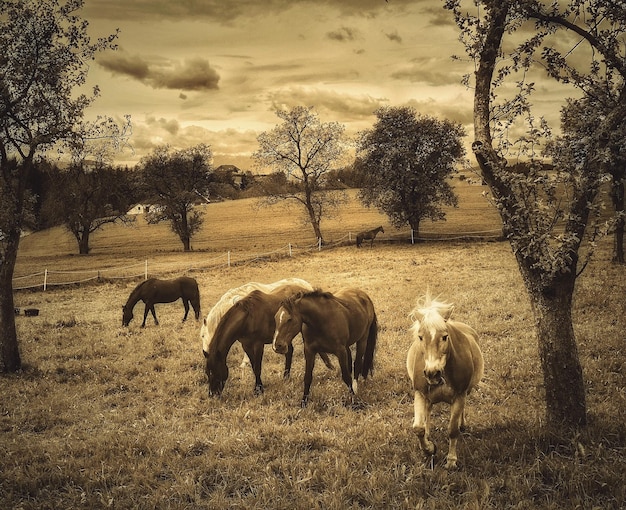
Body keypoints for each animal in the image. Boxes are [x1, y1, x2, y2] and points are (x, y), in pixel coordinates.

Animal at [404, 292, 482, 468]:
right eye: (420, 337)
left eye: (445, 337)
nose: (432, 373)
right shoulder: (420, 394)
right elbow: (418, 428)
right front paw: (429, 449)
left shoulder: (459, 396)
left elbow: (452, 430)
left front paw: (451, 460)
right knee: (427, 413)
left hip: (466, 392)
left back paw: (462, 424)